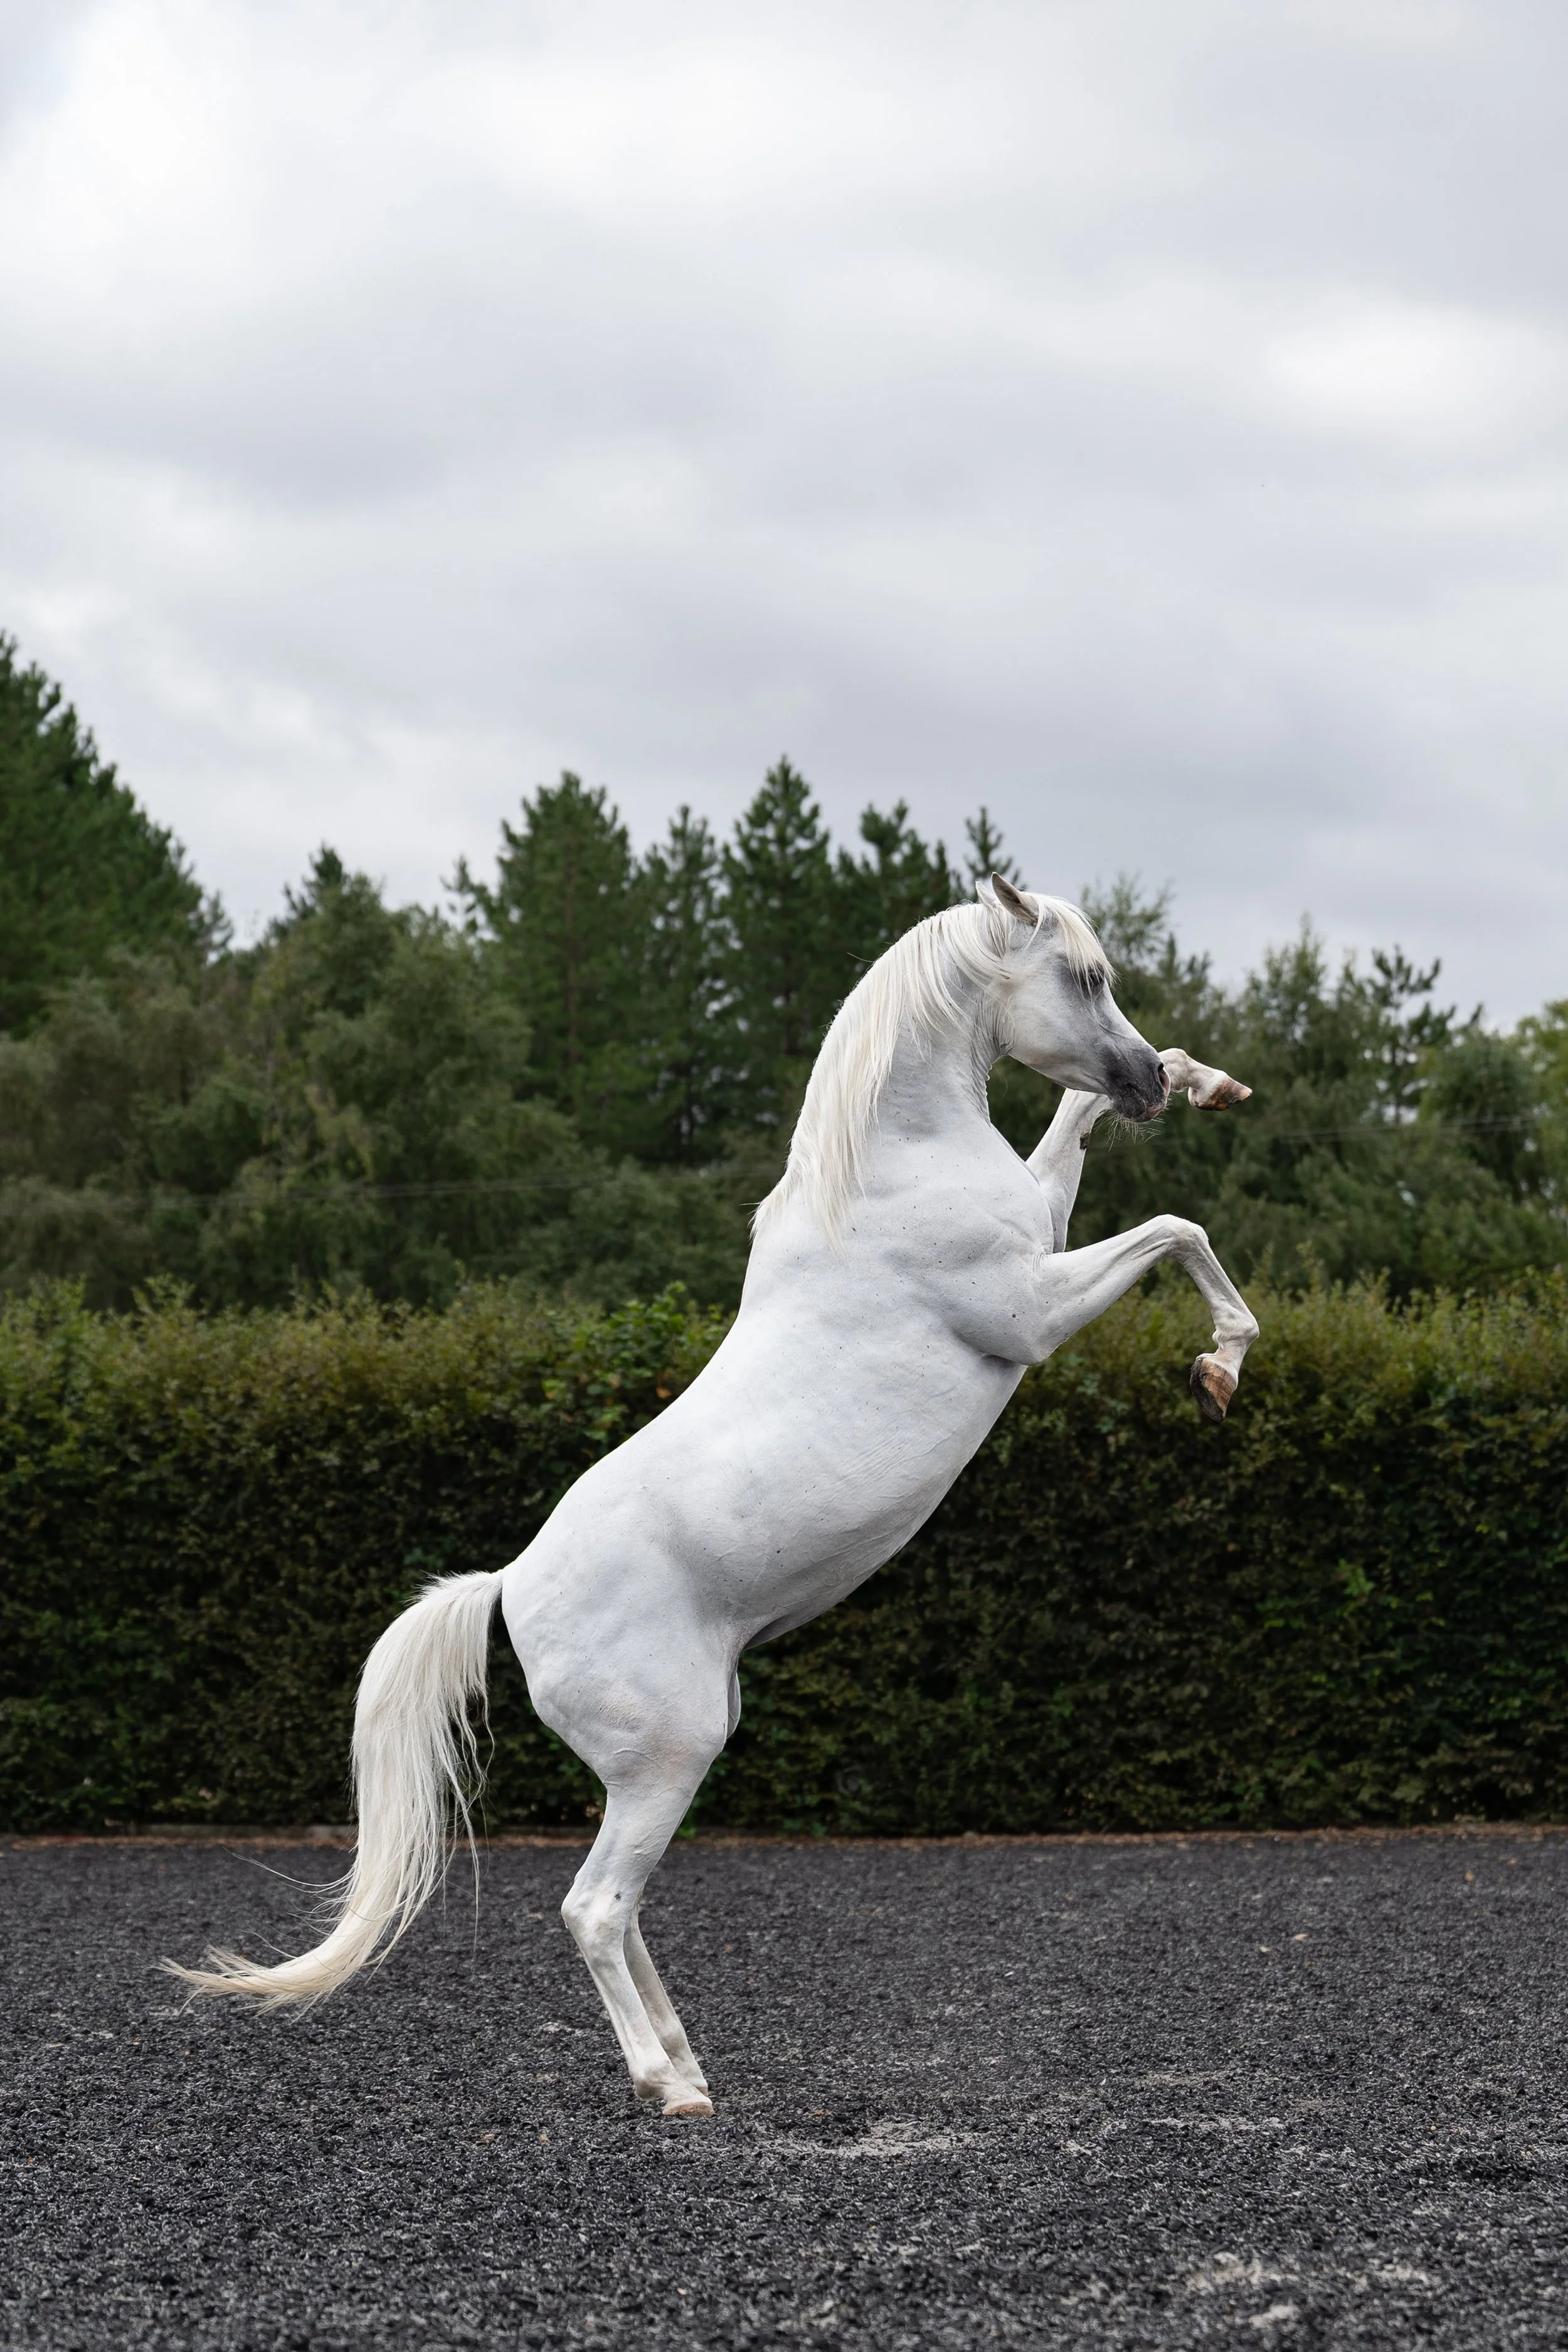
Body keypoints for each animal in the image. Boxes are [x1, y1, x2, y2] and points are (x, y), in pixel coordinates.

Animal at [170, 876, 1258, 2117]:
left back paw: (686, 2057)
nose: (1142, 1085)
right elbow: (1177, 1228)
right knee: (594, 1907)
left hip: (673, 1758)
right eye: (1081, 976)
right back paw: (668, 2086)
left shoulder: (1043, 1227)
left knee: (626, 1906)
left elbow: (1075, 1141)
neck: (888, 1172)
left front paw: (1209, 1080)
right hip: (669, 1756)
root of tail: (507, 1590)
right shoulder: (1031, 1313)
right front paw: (1222, 1367)